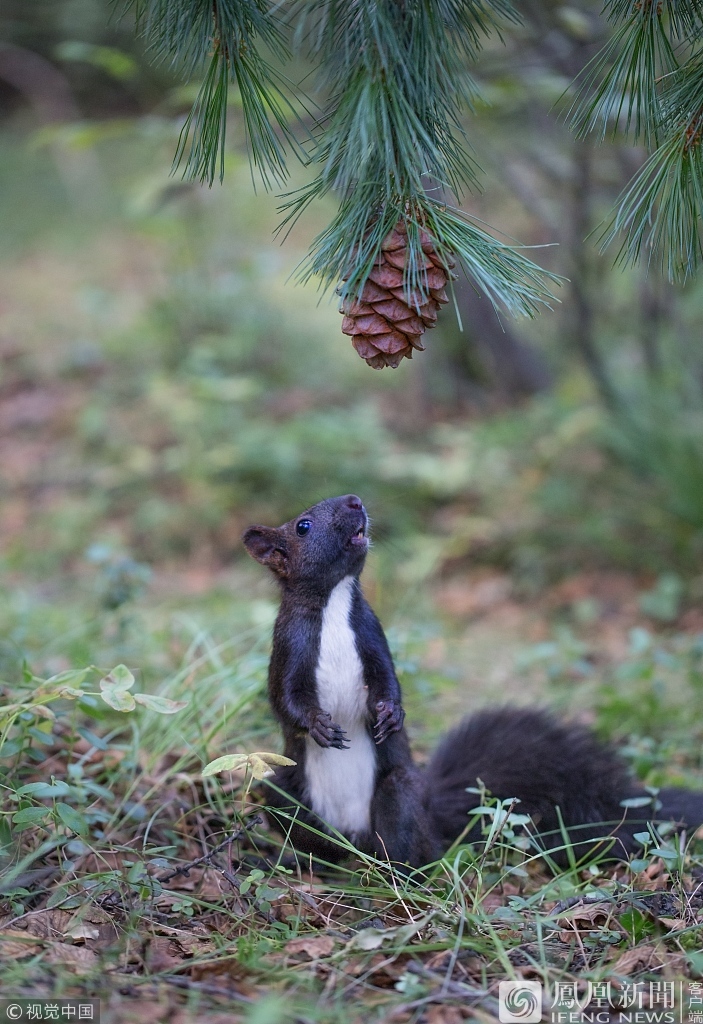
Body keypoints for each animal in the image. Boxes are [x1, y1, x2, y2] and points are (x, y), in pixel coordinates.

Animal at [243, 491, 703, 868]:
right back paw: (298, 862)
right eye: (303, 526)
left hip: (399, 794)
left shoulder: (372, 636)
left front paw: (391, 714)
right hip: (285, 792)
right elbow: (284, 698)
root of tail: (356, 839)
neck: (335, 602)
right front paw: (318, 725)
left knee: (409, 849)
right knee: (315, 842)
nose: (355, 501)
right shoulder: (289, 647)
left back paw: (398, 877)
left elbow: (388, 679)